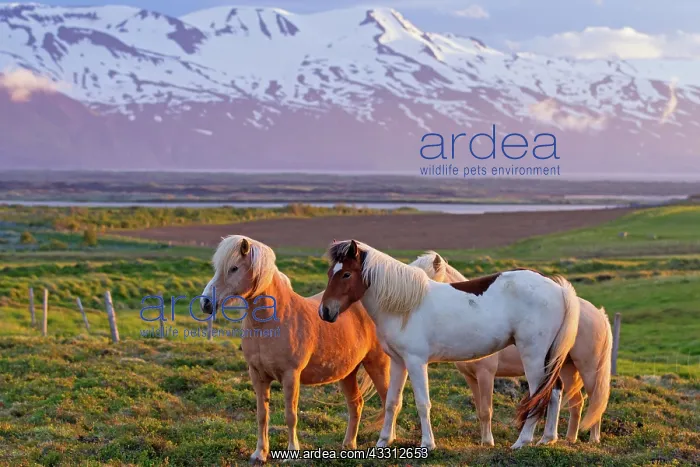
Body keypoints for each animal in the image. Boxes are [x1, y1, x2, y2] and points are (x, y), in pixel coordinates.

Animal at [200, 235, 391, 463]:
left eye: (234, 268)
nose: (205, 302)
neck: (272, 322)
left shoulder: (291, 376)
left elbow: (290, 415)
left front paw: (292, 452)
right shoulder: (257, 375)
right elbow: (262, 415)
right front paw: (259, 453)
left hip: (377, 364)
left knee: (389, 401)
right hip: (348, 373)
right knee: (356, 404)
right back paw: (348, 446)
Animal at [319, 240, 581, 450]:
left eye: (346, 274)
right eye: (331, 272)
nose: (325, 311)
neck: (404, 305)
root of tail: (557, 288)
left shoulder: (416, 362)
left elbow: (422, 403)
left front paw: (427, 443)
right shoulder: (398, 362)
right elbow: (393, 402)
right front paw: (383, 441)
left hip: (533, 355)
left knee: (538, 394)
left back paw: (522, 442)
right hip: (548, 357)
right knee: (554, 391)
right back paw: (547, 439)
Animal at [410, 251, 612, 445]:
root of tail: (599, 314)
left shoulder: (486, 374)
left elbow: (486, 410)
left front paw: (488, 442)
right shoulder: (471, 377)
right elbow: (480, 410)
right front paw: (484, 440)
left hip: (586, 368)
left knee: (594, 399)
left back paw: (592, 438)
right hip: (567, 368)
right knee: (573, 401)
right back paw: (563, 439)